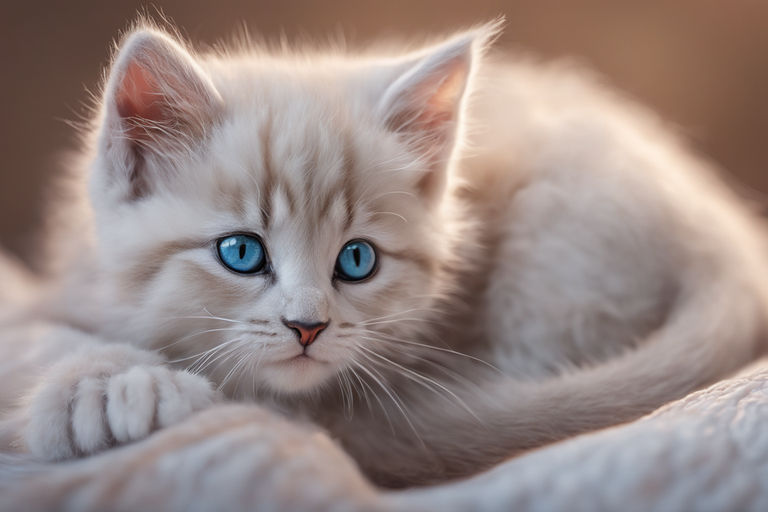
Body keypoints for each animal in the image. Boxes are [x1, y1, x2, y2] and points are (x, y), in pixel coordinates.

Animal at [1, 18, 768, 486]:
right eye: (241, 252)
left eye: (357, 261)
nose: (307, 327)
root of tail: (720, 227)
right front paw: (103, 378)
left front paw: (114, 386)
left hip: (562, 251)